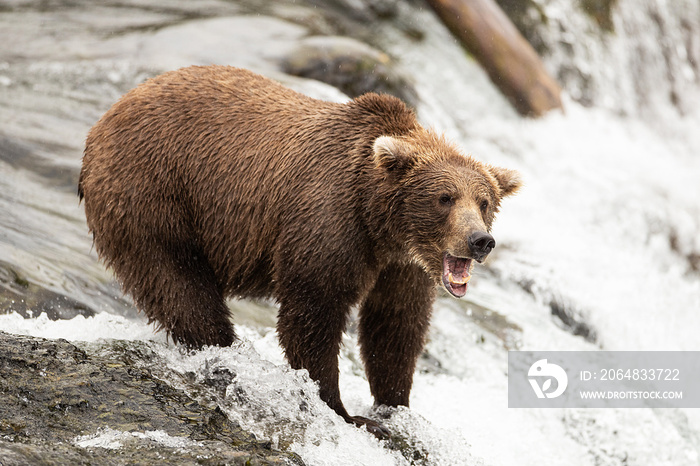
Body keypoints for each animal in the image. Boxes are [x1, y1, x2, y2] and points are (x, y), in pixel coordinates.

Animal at [80, 64, 520, 436]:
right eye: (445, 198)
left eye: (484, 201)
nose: (480, 241)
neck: (380, 222)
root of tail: (107, 115)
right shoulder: (328, 220)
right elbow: (314, 312)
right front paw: (341, 409)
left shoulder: (401, 266)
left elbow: (395, 324)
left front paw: (395, 406)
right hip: (155, 190)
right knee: (177, 279)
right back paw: (225, 351)